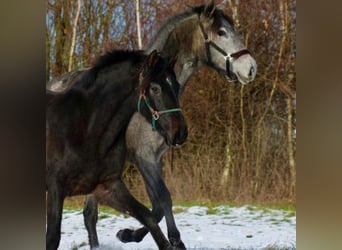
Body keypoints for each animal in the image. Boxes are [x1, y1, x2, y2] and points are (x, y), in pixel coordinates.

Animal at [46, 49, 187, 249]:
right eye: (155, 88)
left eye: (176, 85)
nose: (180, 133)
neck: (85, 128)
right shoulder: (56, 187)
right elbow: (52, 238)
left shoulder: (108, 187)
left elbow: (148, 217)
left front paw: (126, 234)